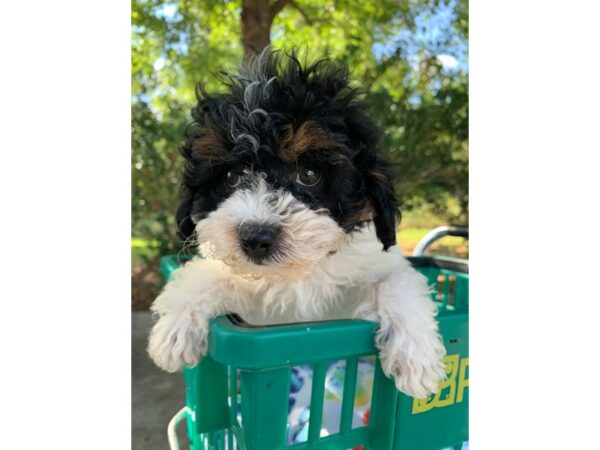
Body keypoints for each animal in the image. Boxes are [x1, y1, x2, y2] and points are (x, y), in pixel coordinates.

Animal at [146, 50, 446, 398]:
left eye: (310, 174)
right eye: (231, 176)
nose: (254, 237)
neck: (300, 273)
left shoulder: (376, 266)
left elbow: (397, 279)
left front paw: (416, 357)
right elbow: (204, 273)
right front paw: (174, 330)